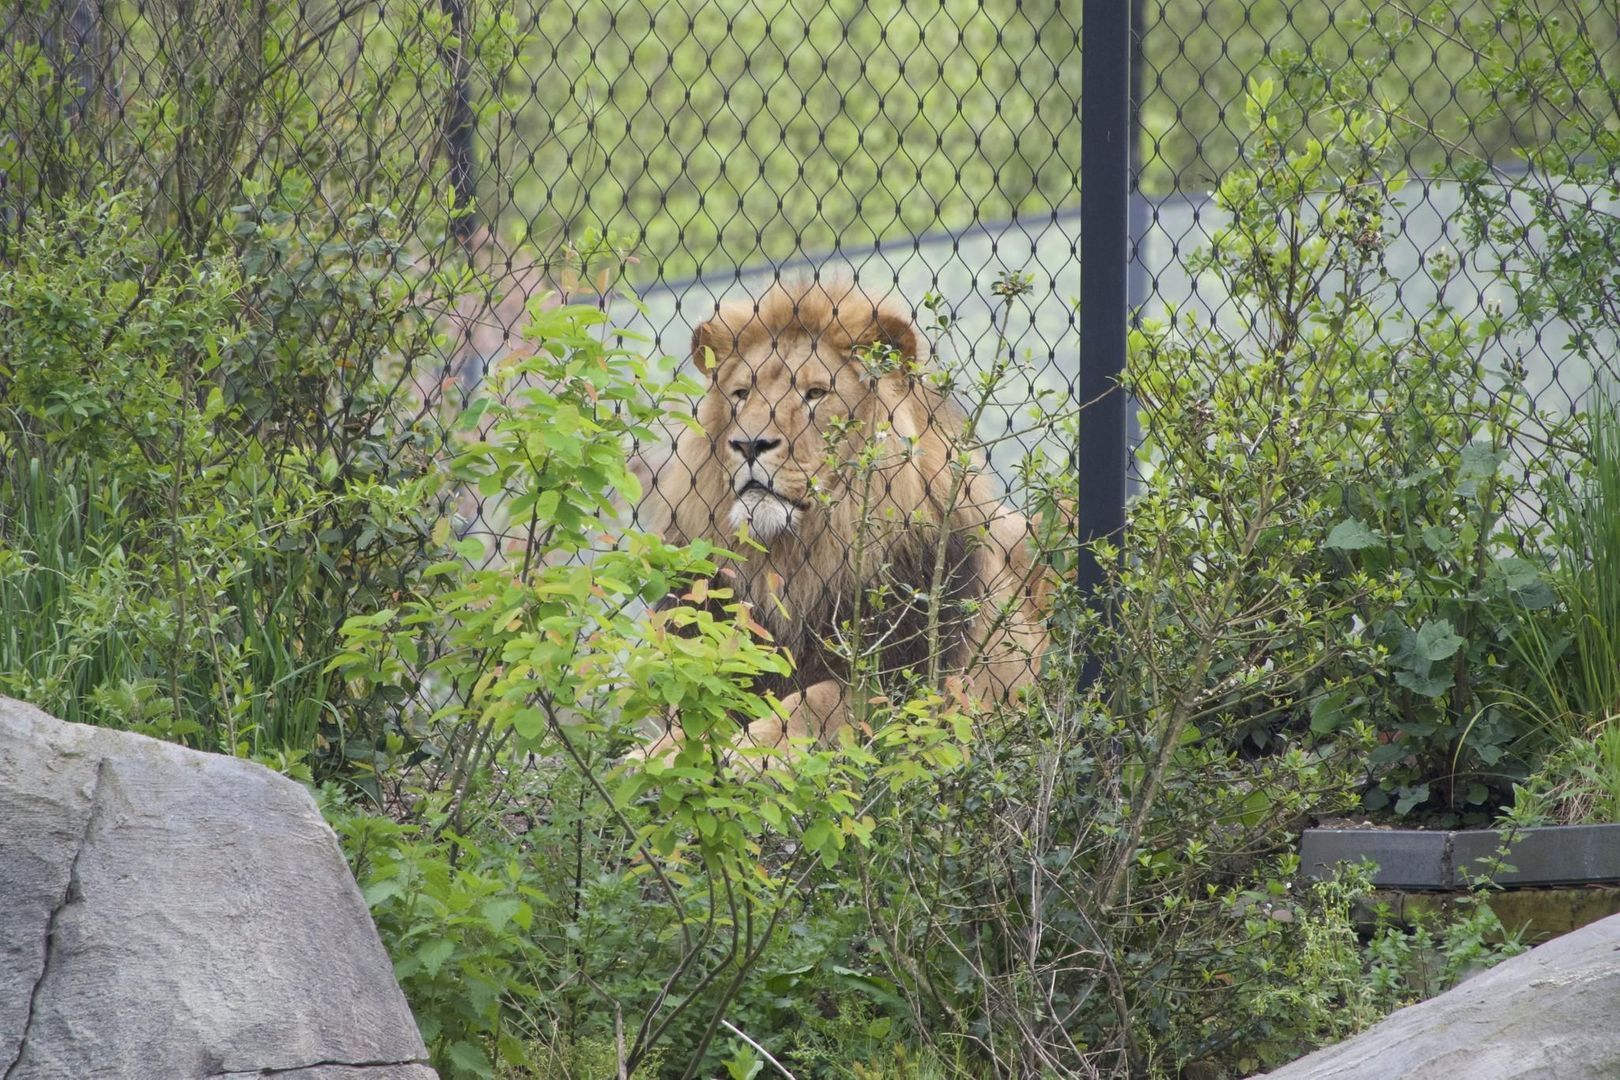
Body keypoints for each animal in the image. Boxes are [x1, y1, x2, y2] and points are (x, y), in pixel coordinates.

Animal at [631, 278, 1049, 751]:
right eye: (740, 395)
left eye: (815, 394)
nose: (749, 444)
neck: (799, 559)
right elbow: (689, 719)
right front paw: (654, 753)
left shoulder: (901, 679)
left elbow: (815, 702)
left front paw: (749, 752)